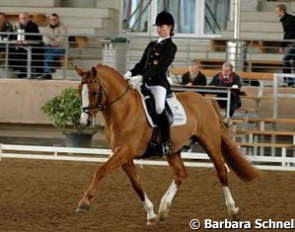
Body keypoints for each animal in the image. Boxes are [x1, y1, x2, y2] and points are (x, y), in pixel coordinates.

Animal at [75, 65, 260, 225]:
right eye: (79, 91)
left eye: (93, 92)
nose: (85, 121)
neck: (125, 110)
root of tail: (205, 100)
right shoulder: (124, 156)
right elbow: (136, 183)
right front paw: (151, 214)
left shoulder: (124, 152)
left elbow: (101, 171)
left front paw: (84, 203)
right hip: (173, 150)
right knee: (180, 173)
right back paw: (164, 208)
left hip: (210, 144)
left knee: (221, 172)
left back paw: (233, 210)